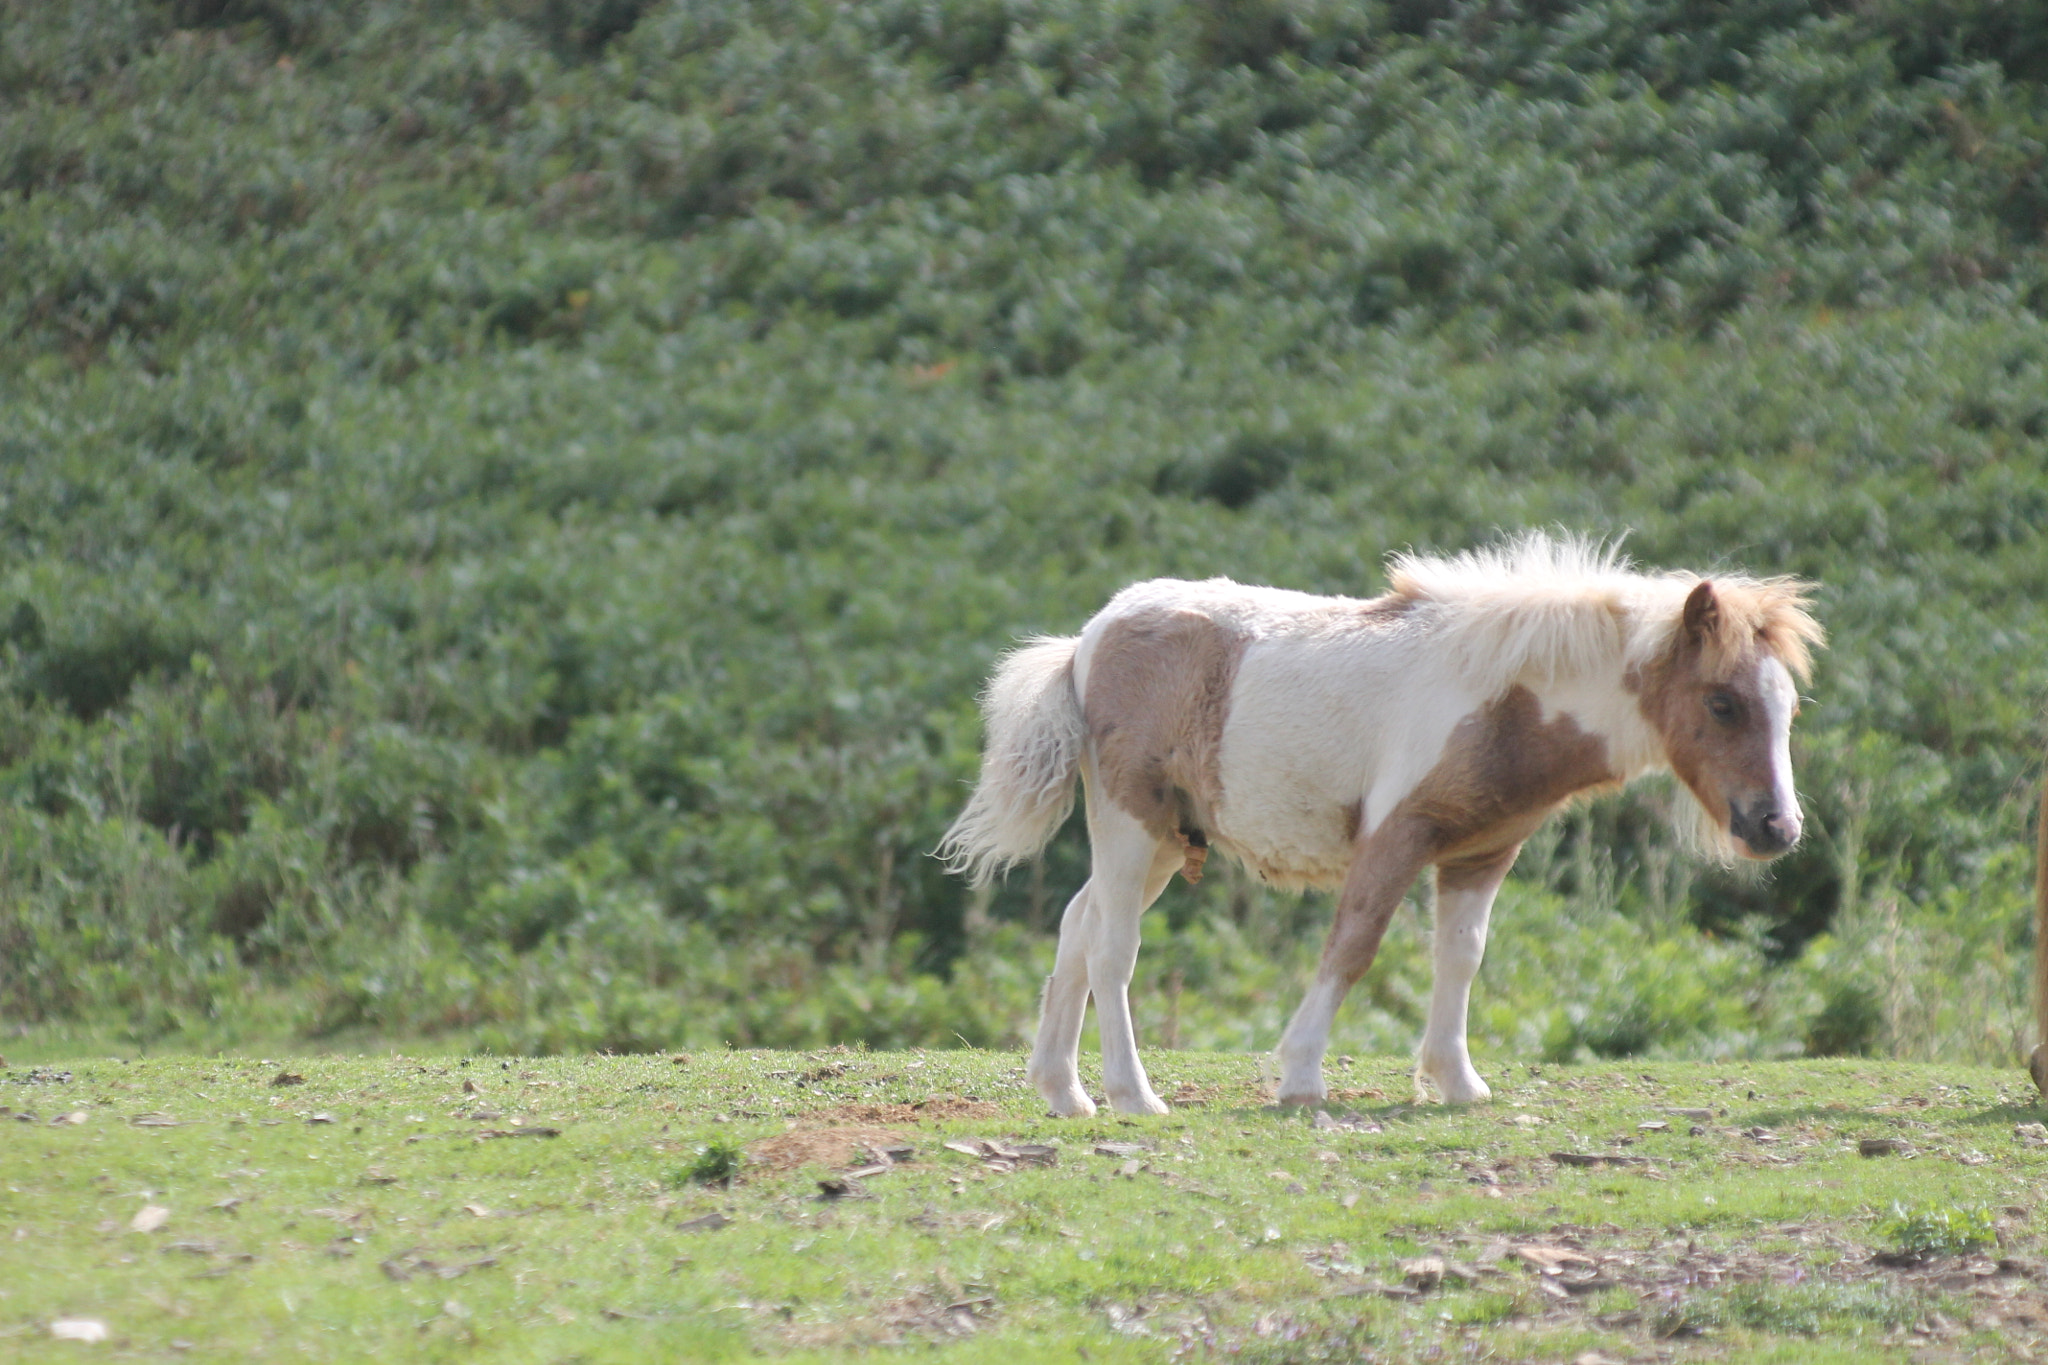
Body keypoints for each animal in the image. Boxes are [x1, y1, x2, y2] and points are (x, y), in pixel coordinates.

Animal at [937, 532, 1818, 1121]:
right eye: (1722, 702)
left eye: (1787, 706)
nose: (1776, 827)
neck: (1501, 698)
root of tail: (1088, 639)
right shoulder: (1396, 834)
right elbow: (1354, 944)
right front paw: (1300, 1077)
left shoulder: (1483, 850)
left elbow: (1460, 955)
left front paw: (1457, 1080)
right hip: (1129, 818)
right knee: (1113, 945)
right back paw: (1132, 1093)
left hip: (1162, 837)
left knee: (1077, 923)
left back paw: (1064, 1090)